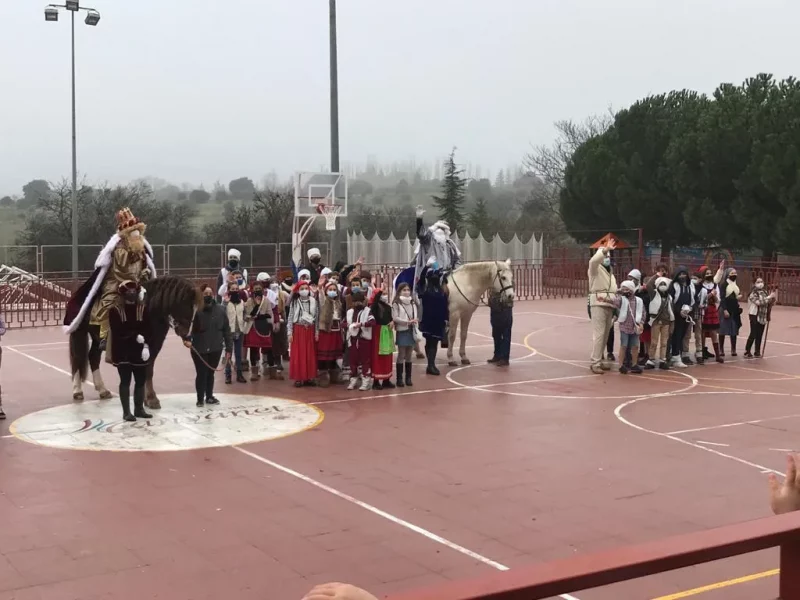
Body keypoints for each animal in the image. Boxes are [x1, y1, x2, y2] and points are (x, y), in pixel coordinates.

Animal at [69, 276, 202, 409]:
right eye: (186, 306)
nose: (187, 336)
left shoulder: (155, 345)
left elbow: (149, 369)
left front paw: (148, 399)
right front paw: (150, 398)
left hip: (96, 339)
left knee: (93, 358)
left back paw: (103, 390)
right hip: (79, 332)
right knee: (77, 358)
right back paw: (77, 391)